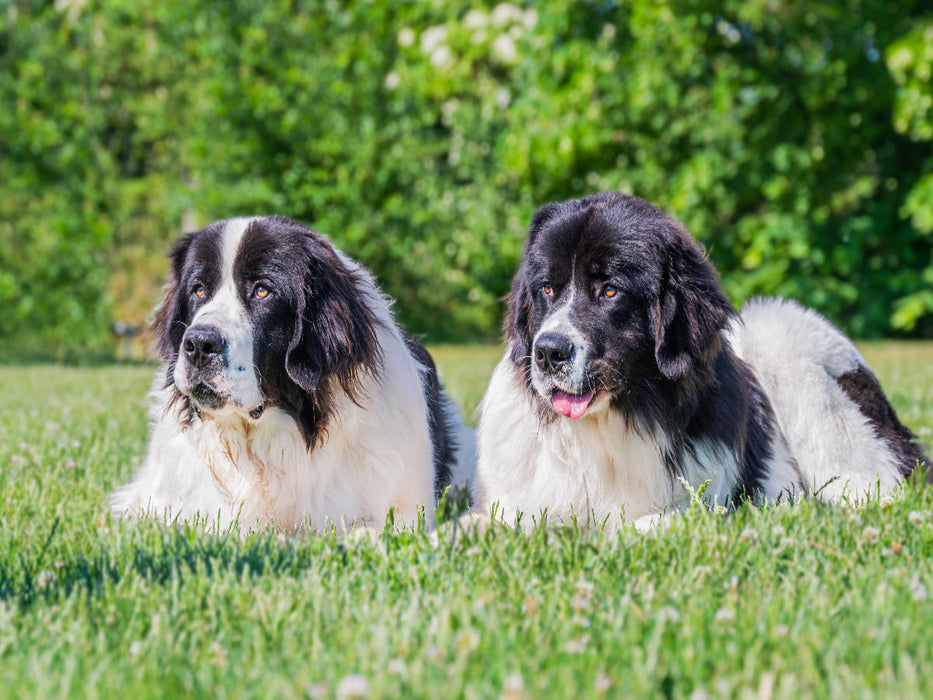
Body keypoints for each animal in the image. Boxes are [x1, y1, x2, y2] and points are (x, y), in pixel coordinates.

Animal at [476, 191, 928, 532]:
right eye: (547, 289)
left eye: (610, 291)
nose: (548, 352)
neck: (610, 425)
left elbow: (639, 524)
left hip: (782, 336)